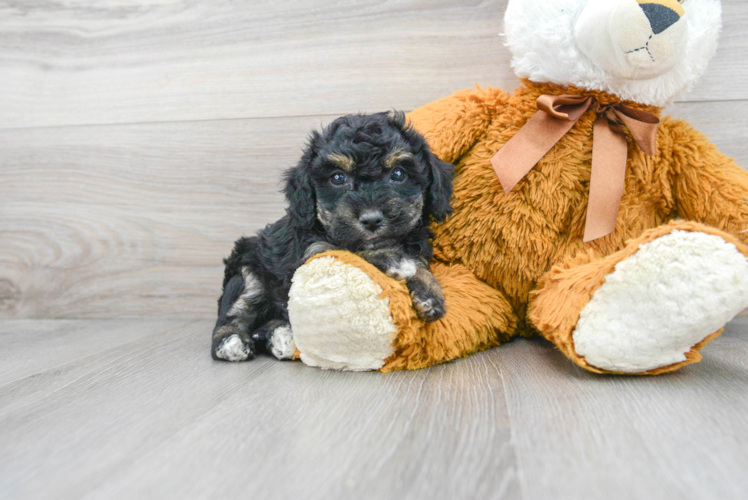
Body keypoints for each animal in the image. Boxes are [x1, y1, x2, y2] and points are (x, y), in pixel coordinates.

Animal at [213, 111, 452, 362]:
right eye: (337, 178)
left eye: (398, 174)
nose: (371, 219)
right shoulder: (314, 251)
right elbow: (352, 251)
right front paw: (395, 260)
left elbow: (418, 264)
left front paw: (429, 292)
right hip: (246, 273)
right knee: (232, 314)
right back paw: (231, 341)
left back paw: (281, 336)